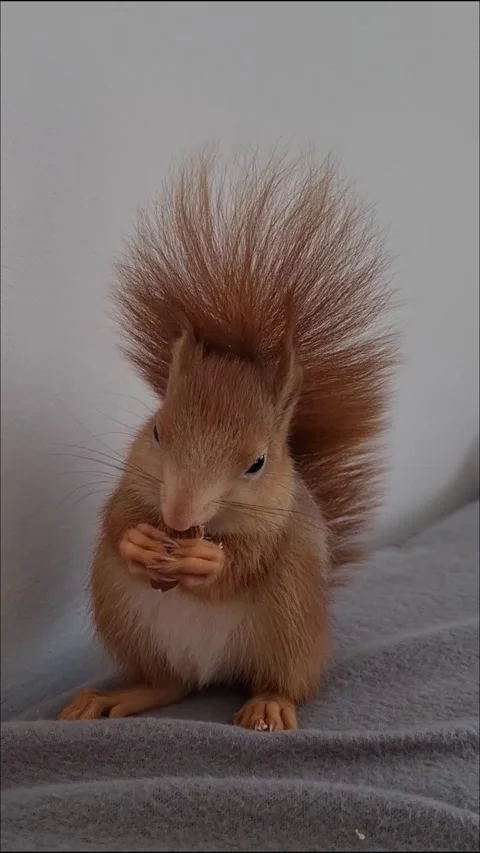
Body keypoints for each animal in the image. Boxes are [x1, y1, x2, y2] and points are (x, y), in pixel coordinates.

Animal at [59, 153, 395, 730]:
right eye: (156, 430)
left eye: (258, 462)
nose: (176, 515)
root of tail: (211, 668)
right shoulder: (130, 487)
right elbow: (115, 520)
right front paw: (139, 542)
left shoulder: (278, 526)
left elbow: (248, 561)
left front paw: (208, 562)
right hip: (124, 614)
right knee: (167, 683)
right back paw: (113, 697)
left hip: (292, 625)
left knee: (284, 680)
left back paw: (269, 705)